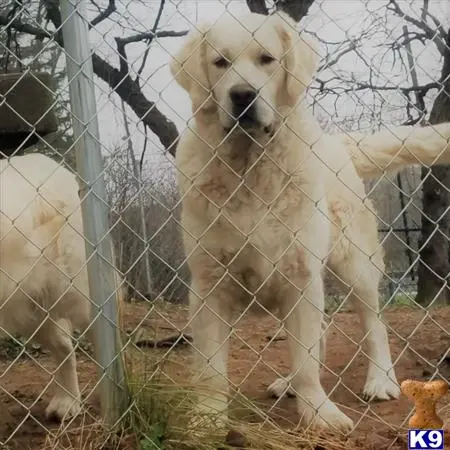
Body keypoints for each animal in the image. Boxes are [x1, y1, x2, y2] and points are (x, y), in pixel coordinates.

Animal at [171, 12, 450, 430]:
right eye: (220, 63)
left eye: (267, 59)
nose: (242, 96)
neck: (250, 168)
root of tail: (339, 142)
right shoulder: (208, 283)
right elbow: (211, 369)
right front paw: (207, 419)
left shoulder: (300, 275)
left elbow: (306, 359)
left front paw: (319, 414)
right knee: (319, 334)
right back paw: (289, 384)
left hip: (355, 265)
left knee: (373, 325)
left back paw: (380, 380)